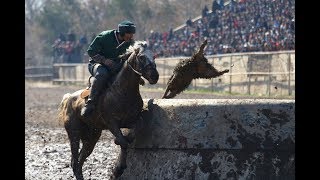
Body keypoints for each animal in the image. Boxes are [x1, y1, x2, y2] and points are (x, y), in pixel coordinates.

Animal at [57, 40, 159, 179]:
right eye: (142, 57)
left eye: (153, 56)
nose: (155, 76)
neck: (123, 92)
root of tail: (68, 99)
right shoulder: (111, 123)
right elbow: (123, 142)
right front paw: (118, 170)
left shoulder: (133, 120)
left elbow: (132, 133)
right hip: (74, 133)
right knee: (74, 161)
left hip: (92, 137)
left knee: (80, 160)